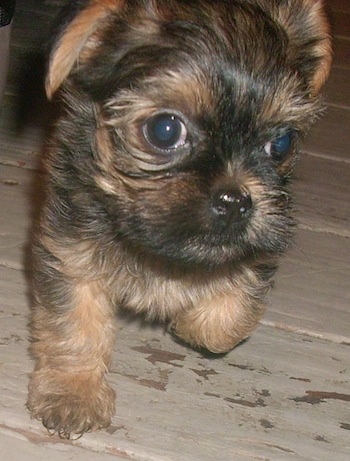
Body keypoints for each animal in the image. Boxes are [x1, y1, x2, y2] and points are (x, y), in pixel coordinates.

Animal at [26, 0, 330, 438]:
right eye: (165, 129)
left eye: (283, 142)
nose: (235, 199)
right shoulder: (70, 251)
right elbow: (76, 324)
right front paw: (73, 392)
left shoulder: (261, 243)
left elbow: (228, 317)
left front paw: (190, 321)